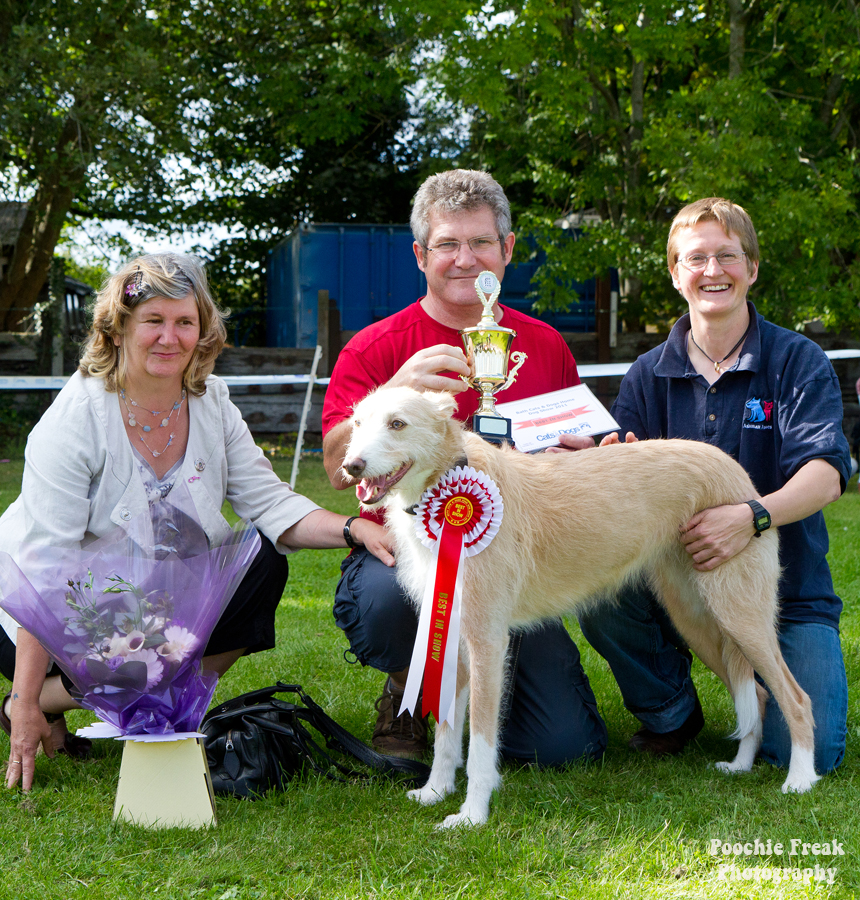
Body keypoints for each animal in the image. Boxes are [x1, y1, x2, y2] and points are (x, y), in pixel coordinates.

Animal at [342, 386, 820, 828]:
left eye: (398, 424)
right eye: (358, 424)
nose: (351, 468)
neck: (447, 480)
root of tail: (732, 467)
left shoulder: (487, 642)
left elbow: (479, 741)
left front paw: (472, 814)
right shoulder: (454, 637)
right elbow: (446, 733)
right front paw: (436, 791)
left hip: (740, 616)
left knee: (796, 698)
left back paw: (800, 779)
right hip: (698, 620)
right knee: (758, 693)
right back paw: (740, 765)